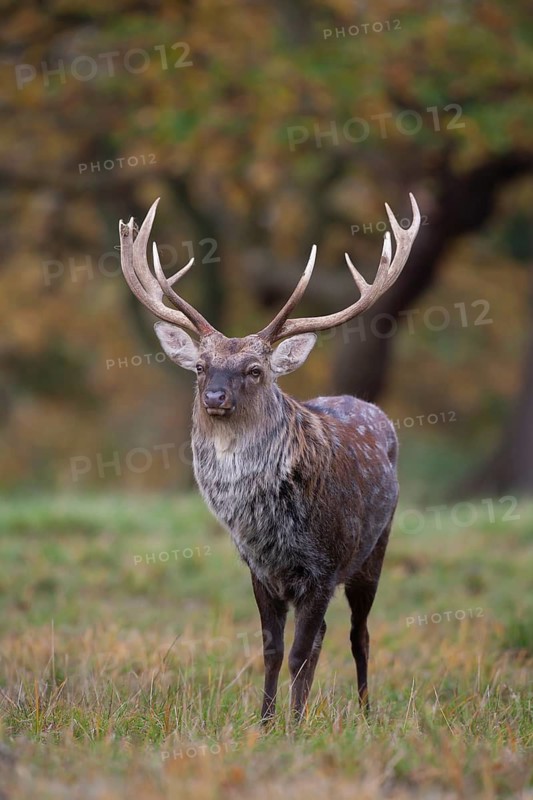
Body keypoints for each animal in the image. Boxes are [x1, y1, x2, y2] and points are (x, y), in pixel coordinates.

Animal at [119, 194, 420, 722]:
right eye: (200, 366)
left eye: (255, 370)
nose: (215, 397)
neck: (272, 530)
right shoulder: (260, 570)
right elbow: (273, 650)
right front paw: (265, 722)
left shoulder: (323, 567)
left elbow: (299, 651)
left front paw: (294, 728)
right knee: (325, 636)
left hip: (374, 548)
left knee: (358, 634)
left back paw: (366, 714)